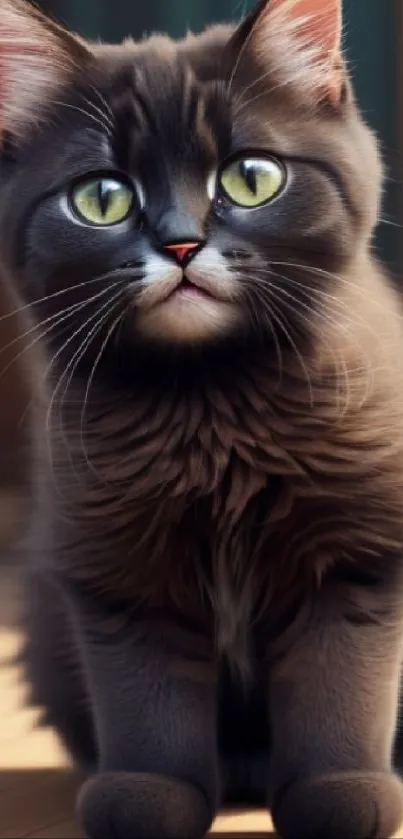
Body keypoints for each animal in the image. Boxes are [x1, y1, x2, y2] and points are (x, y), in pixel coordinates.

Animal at [2, 0, 403, 836]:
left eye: (250, 178)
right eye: (102, 197)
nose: (181, 242)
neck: (212, 402)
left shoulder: (357, 551)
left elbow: (339, 683)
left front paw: (340, 792)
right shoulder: (116, 566)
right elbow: (145, 700)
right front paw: (147, 795)